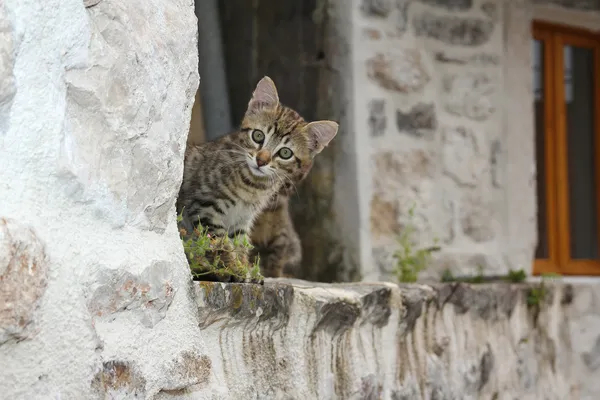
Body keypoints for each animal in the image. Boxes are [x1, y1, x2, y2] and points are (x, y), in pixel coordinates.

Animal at [177, 76, 338, 276]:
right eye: (258, 136)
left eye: (285, 153)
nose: (261, 160)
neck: (253, 186)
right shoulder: (205, 206)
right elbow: (221, 244)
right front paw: (232, 269)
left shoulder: (242, 220)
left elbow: (239, 244)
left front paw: (244, 268)